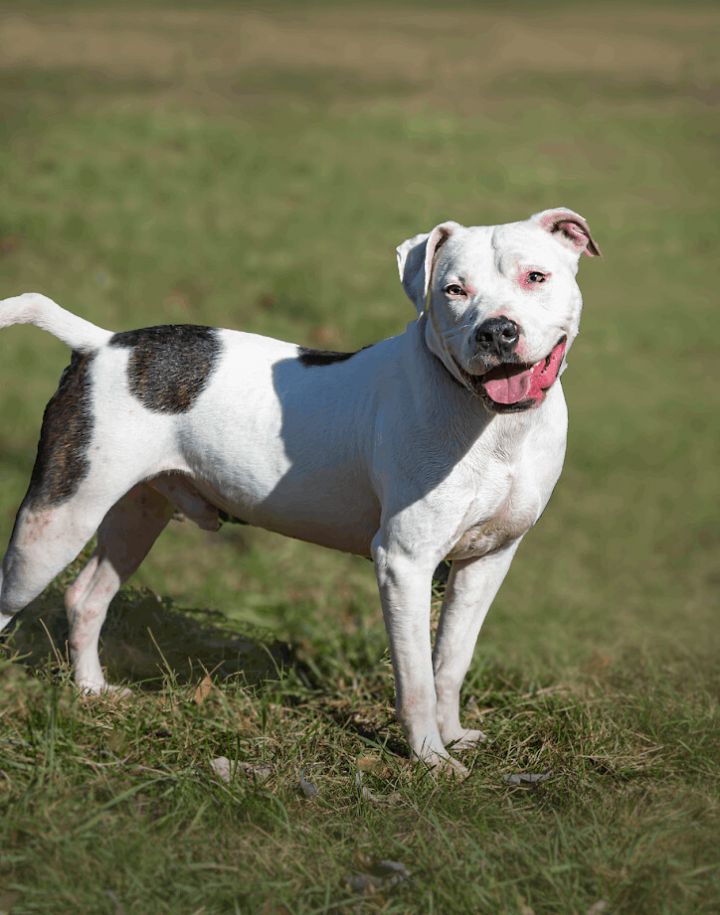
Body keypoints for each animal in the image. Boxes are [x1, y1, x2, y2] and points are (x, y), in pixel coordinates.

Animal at [0, 208, 596, 772]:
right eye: (454, 289)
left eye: (535, 276)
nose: (496, 332)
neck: (495, 426)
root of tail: (101, 345)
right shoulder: (404, 562)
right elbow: (417, 680)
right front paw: (430, 758)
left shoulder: (487, 561)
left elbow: (451, 661)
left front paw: (452, 738)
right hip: (56, 519)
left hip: (136, 515)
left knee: (87, 598)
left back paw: (93, 692)